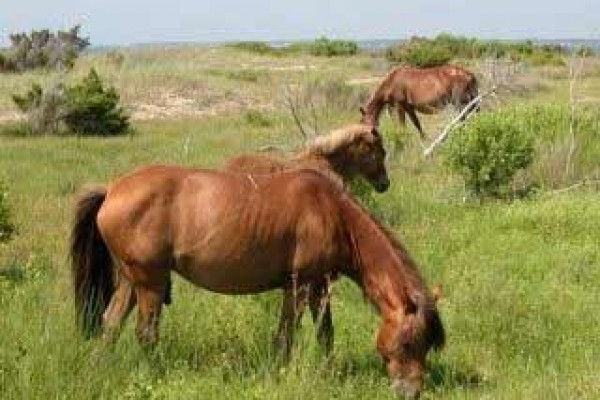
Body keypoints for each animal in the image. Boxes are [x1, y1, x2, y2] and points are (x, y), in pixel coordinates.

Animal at [71, 164, 446, 398]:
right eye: (409, 342)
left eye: (427, 344)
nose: (412, 392)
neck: (332, 213)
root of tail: (111, 189)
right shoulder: (299, 286)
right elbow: (286, 335)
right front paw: (279, 372)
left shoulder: (320, 286)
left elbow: (325, 334)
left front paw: (328, 372)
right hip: (150, 281)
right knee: (145, 333)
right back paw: (155, 373)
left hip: (131, 281)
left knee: (111, 322)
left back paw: (100, 367)